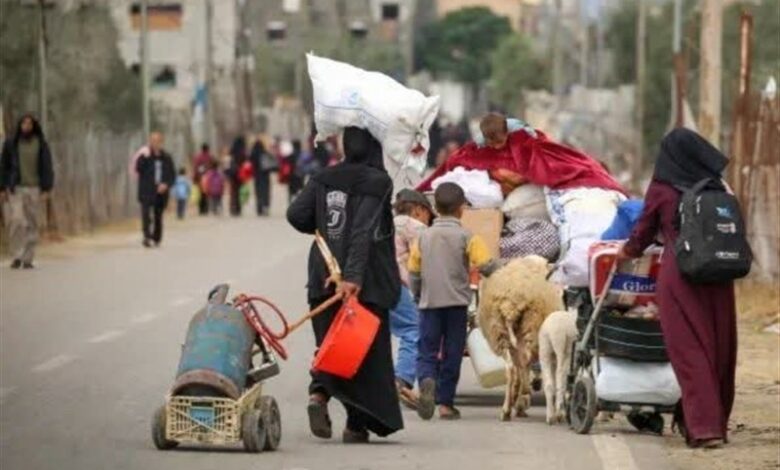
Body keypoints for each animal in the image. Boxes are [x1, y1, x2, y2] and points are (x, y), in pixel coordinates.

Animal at [478, 255, 564, 420]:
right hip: (530, 330)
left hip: (500, 333)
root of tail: (510, 304)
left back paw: (507, 409)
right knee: (524, 364)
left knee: (512, 368)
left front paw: (517, 398)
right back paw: (520, 401)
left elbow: (519, 370)